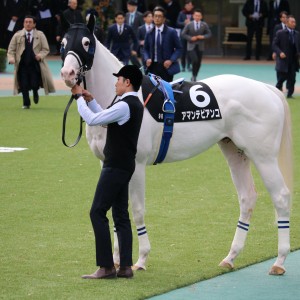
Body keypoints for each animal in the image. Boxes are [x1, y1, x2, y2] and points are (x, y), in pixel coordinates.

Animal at [59, 20, 292, 274]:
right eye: (62, 43)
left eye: (86, 42)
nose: (67, 74)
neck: (120, 98)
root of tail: (267, 89)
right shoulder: (109, 163)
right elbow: (114, 208)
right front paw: (118, 259)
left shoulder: (136, 165)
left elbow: (137, 210)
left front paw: (141, 259)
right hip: (235, 151)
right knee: (247, 198)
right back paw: (230, 257)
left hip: (263, 157)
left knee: (281, 197)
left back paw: (280, 261)